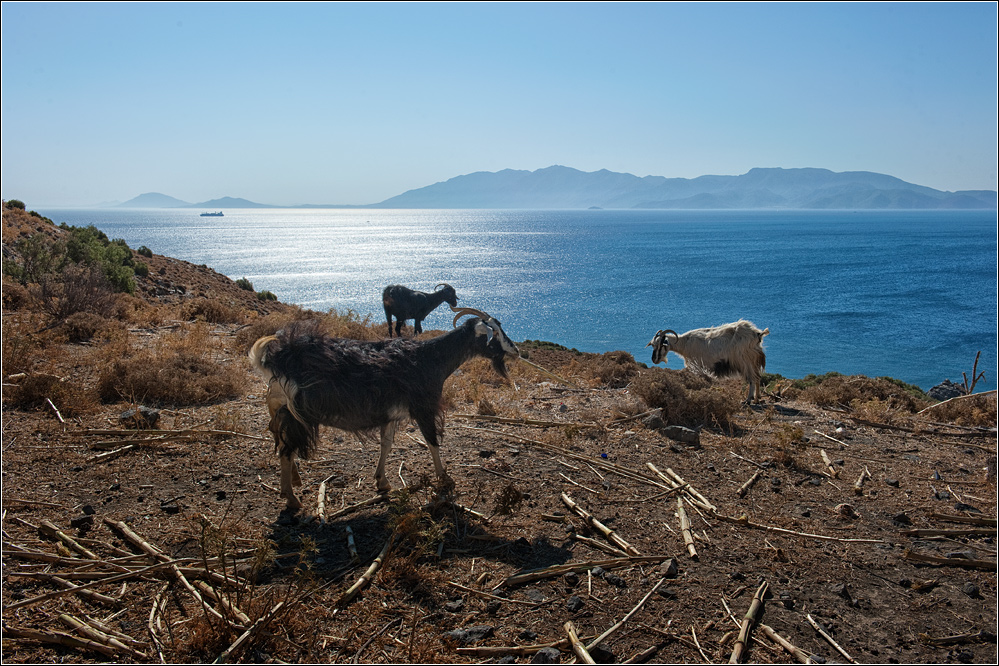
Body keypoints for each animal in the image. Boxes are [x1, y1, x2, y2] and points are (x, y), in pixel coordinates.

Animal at [250, 306, 520, 508]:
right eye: (494, 333)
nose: (516, 350)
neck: (430, 358)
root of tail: (277, 355)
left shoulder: (390, 415)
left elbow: (387, 445)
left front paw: (382, 481)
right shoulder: (423, 408)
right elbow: (432, 442)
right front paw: (445, 479)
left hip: (281, 408)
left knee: (282, 442)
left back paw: (293, 482)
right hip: (297, 412)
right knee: (286, 450)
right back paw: (292, 499)